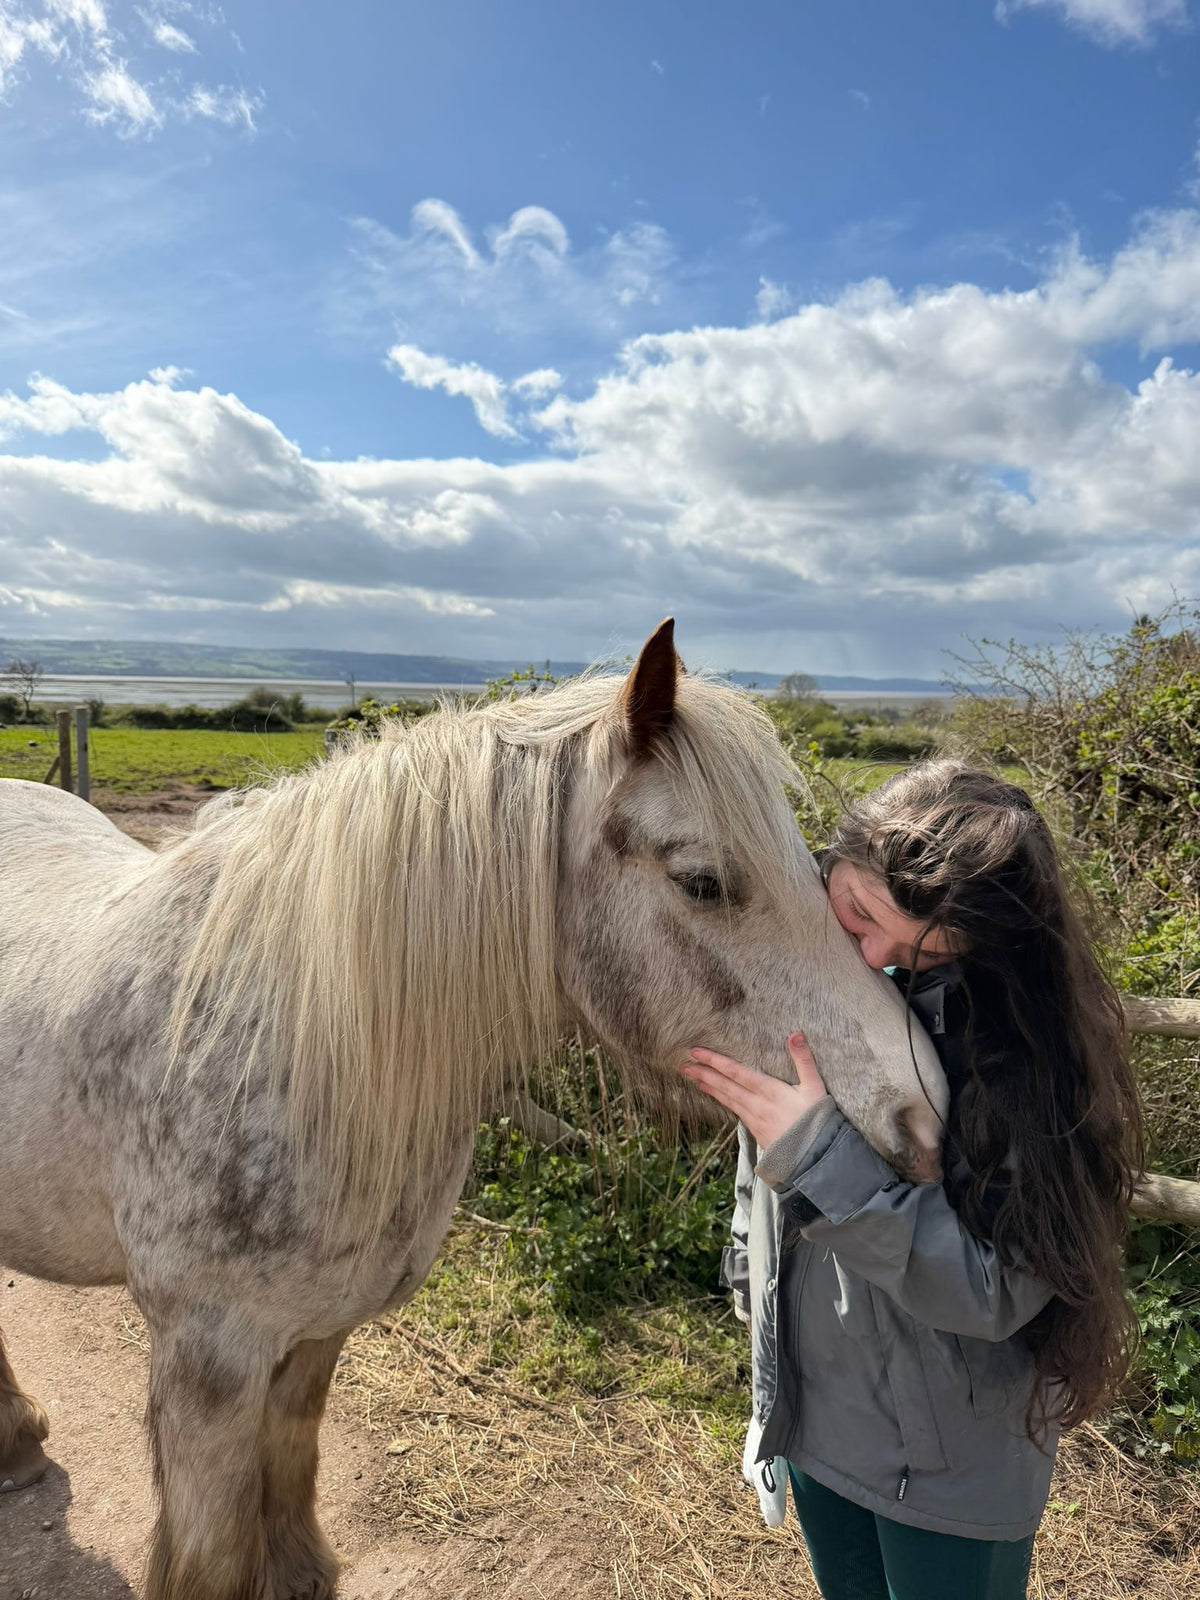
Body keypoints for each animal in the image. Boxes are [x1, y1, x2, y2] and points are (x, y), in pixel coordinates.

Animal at [0, 619, 946, 1600]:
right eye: (703, 882)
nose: (925, 1110)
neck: (284, 1036)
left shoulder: (313, 1338)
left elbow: (291, 1474)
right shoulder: (207, 1362)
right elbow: (215, 1553)